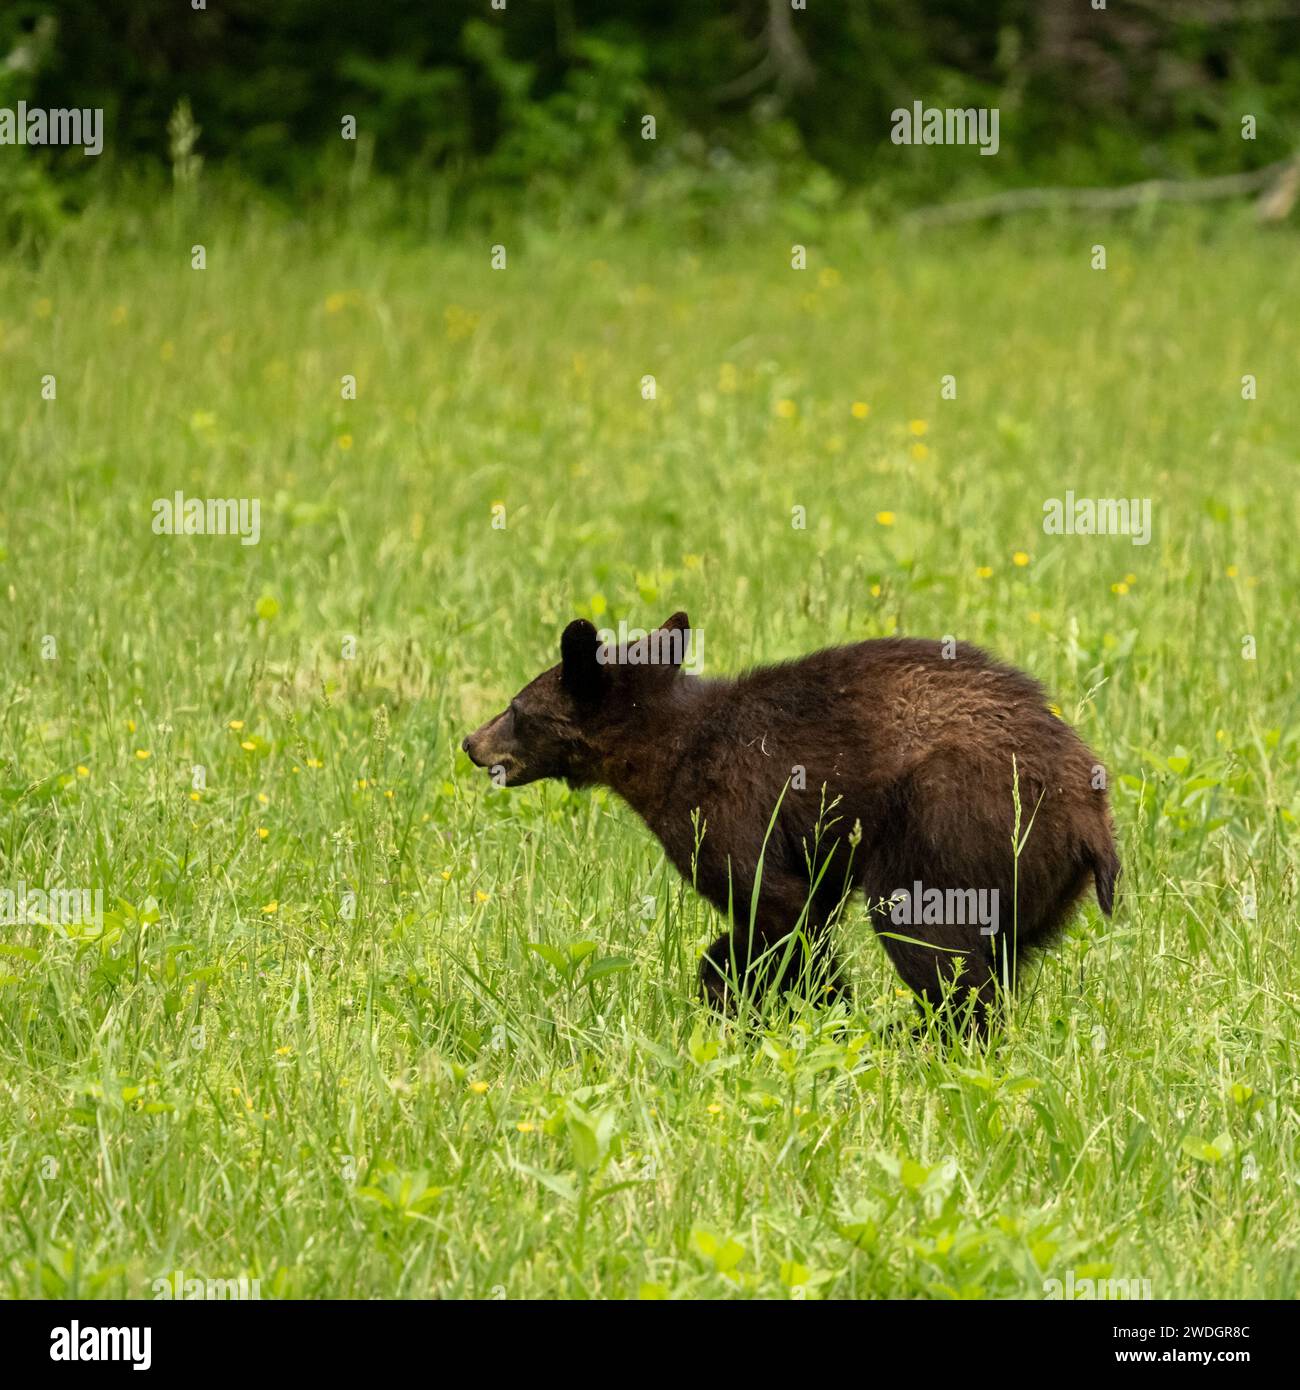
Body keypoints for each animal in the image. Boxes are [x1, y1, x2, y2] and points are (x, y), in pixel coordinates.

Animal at [463, 612, 1119, 1031]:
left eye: (517, 709)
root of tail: (1093, 819)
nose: (471, 741)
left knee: (929, 941)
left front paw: (818, 1009)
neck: (665, 746)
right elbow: (805, 907)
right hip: (1038, 884)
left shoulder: (726, 807)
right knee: (1000, 957)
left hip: (958, 823)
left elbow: (777, 906)